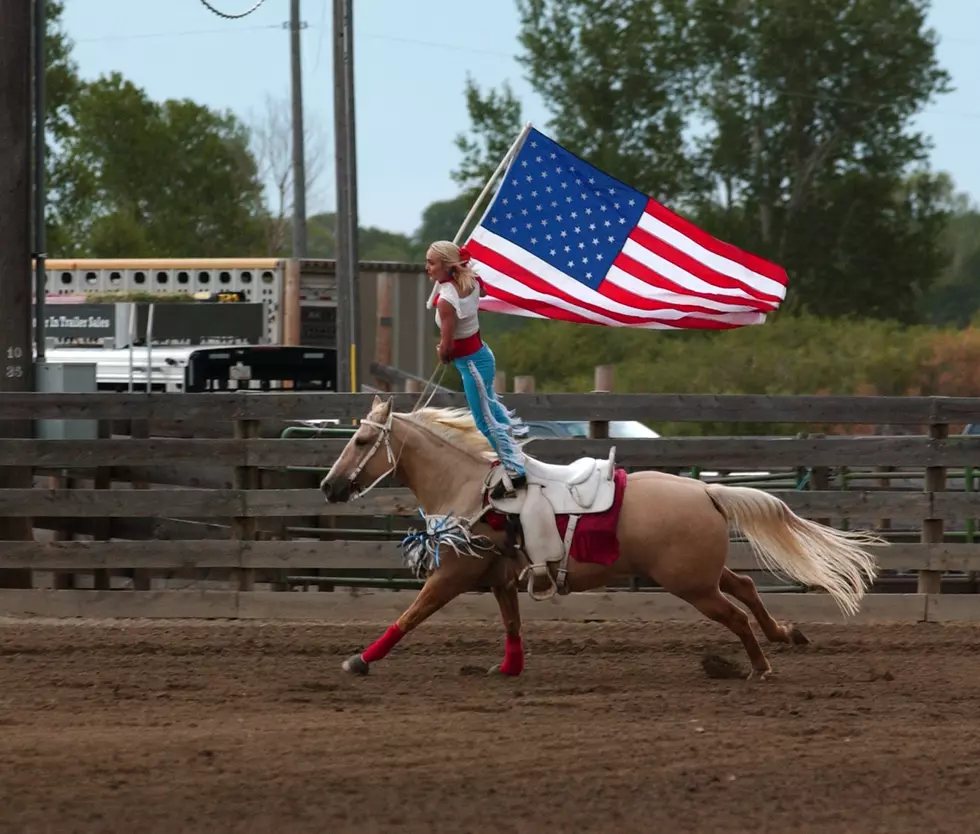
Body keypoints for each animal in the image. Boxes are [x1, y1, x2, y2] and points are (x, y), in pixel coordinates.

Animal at [318, 394, 884, 676]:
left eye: (362, 439)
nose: (328, 486)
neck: (470, 490)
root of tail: (706, 491)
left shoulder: (451, 578)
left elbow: (409, 616)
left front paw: (360, 660)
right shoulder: (501, 580)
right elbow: (512, 624)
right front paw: (508, 669)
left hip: (691, 585)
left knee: (737, 614)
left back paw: (761, 667)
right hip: (701, 573)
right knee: (745, 587)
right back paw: (785, 634)